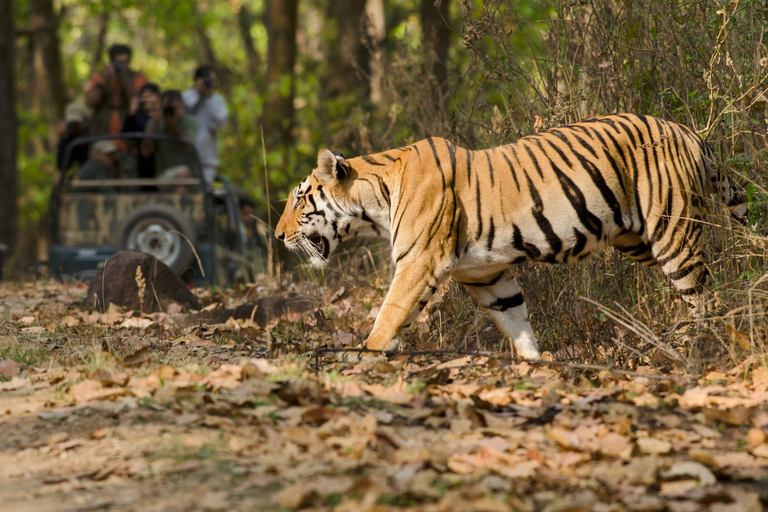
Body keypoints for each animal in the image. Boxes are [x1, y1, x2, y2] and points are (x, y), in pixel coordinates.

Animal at [274, 113, 736, 358]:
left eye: (299, 198)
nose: (277, 236)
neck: (376, 202)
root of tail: (690, 132)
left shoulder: (418, 263)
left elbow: (390, 313)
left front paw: (364, 355)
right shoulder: (486, 274)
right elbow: (516, 321)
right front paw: (536, 366)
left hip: (671, 231)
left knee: (706, 296)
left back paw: (704, 346)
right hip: (634, 239)